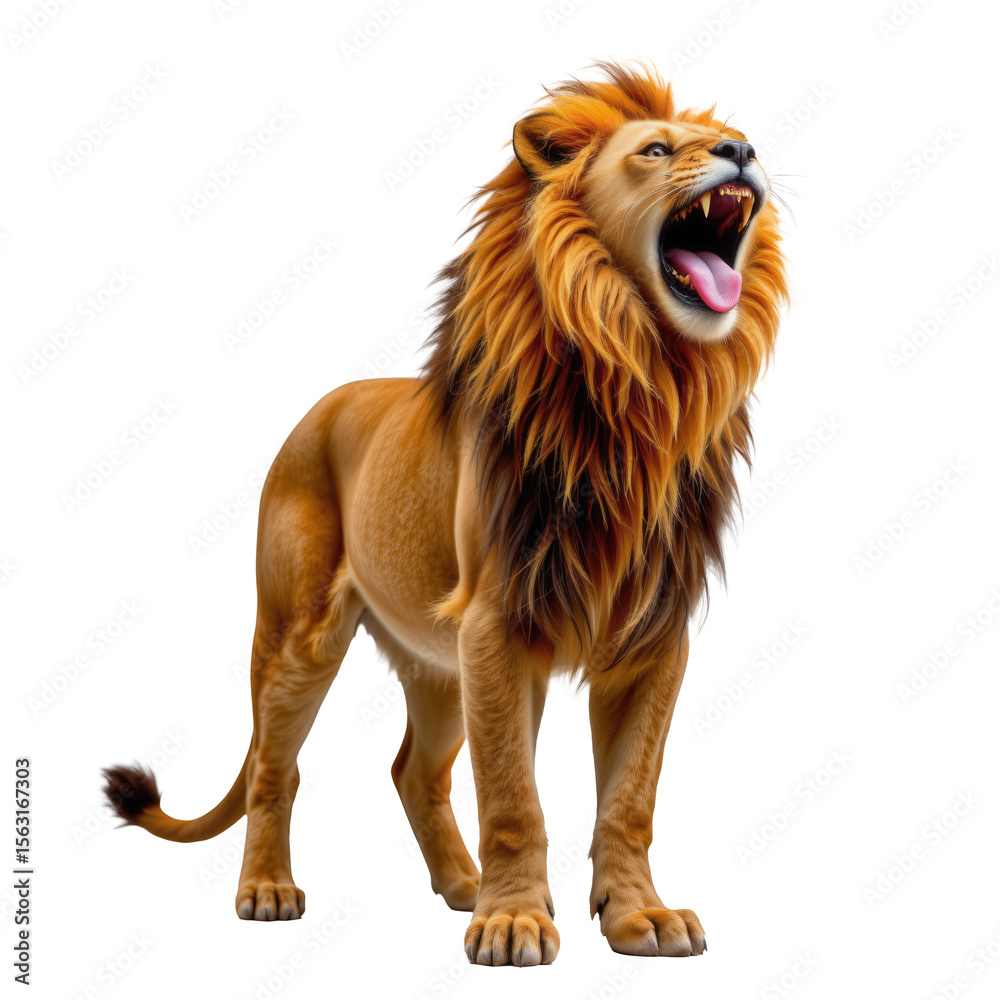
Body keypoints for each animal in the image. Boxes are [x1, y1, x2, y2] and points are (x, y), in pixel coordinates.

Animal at [103, 63, 786, 966]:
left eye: (731, 138)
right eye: (656, 150)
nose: (743, 152)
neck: (639, 384)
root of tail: (319, 407)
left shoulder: (650, 635)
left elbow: (630, 796)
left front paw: (639, 916)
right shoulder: (497, 626)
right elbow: (513, 794)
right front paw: (514, 923)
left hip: (438, 667)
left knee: (412, 770)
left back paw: (463, 885)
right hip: (299, 634)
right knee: (275, 771)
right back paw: (270, 891)